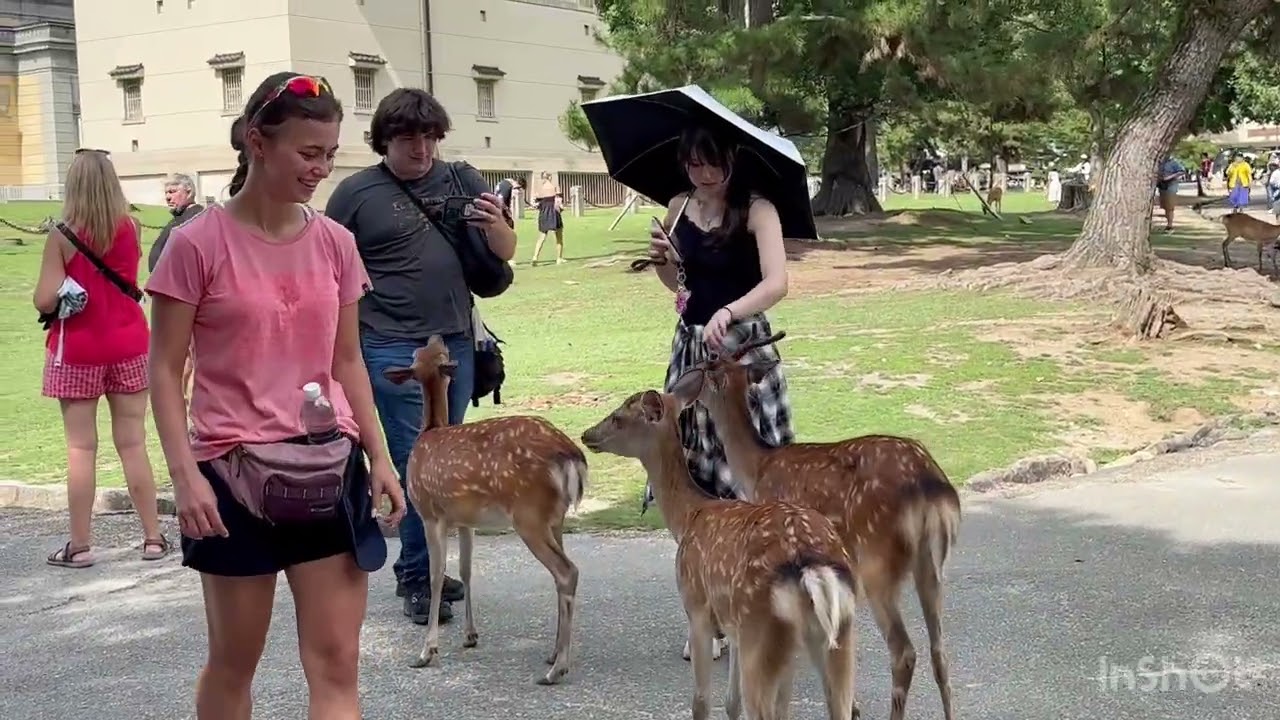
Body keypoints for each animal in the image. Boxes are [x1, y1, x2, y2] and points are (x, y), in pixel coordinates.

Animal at [382, 335, 587, 685]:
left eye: (421, 352)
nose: (435, 335)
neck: (430, 430)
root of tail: (571, 455)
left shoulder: (430, 513)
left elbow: (436, 576)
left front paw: (426, 652)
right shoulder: (466, 519)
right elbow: (465, 569)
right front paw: (470, 635)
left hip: (529, 515)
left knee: (566, 571)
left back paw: (556, 669)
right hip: (555, 518)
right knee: (562, 575)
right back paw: (553, 655)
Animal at [582, 384, 858, 720]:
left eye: (619, 417)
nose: (586, 434)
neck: (689, 515)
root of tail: (813, 568)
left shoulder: (697, 607)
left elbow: (701, 701)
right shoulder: (733, 625)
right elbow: (731, 702)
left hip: (761, 628)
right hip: (835, 636)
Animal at [675, 331, 961, 720]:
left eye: (705, 365)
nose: (682, 387)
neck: (756, 467)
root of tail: (932, 488)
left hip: (877, 561)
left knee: (904, 651)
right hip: (931, 564)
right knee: (940, 651)